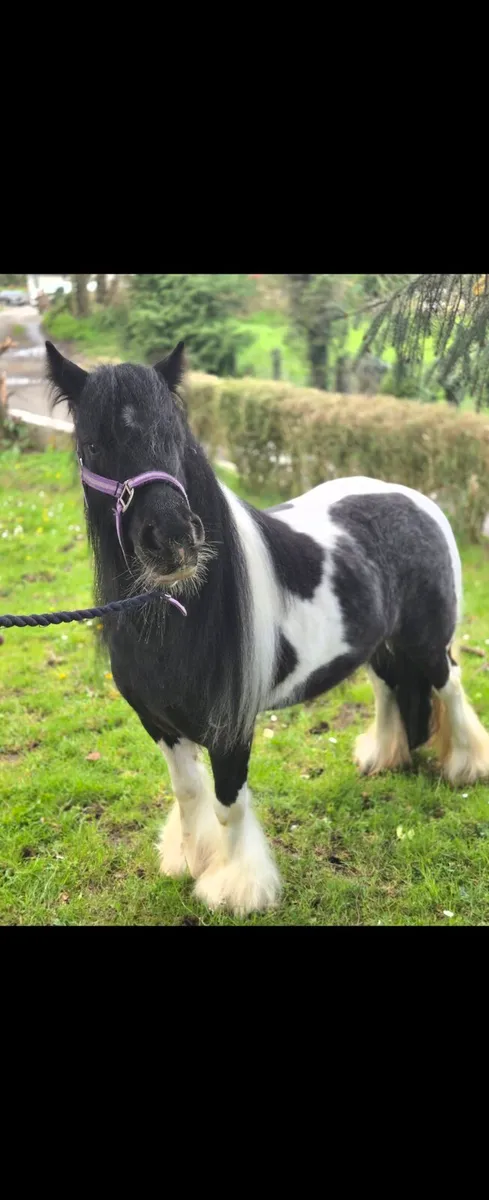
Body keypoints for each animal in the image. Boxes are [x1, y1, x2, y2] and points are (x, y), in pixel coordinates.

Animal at [46, 340, 489, 916]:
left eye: (174, 437)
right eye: (93, 445)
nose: (172, 541)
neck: (174, 618)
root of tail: (416, 500)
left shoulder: (230, 728)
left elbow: (227, 803)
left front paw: (236, 888)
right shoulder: (159, 723)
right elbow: (189, 792)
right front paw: (190, 860)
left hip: (427, 642)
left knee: (450, 685)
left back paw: (466, 766)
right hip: (377, 646)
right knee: (389, 687)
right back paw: (382, 757)